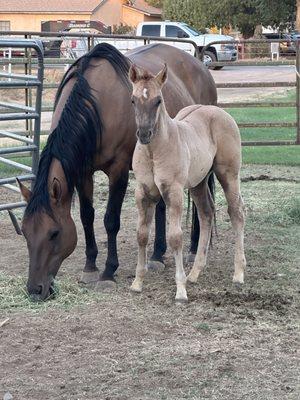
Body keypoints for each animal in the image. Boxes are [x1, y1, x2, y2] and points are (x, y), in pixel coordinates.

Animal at [18, 43, 216, 300]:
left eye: (54, 233)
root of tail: (201, 66)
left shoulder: (118, 170)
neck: (96, 106)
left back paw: (193, 248)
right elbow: (87, 216)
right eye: (25, 231)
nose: (35, 289)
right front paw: (90, 266)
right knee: (162, 206)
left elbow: (111, 220)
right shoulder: (84, 173)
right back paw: (157, 255)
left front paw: (108, 272)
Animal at [129, 63, 246, 300]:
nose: (144, 134)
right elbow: (141, 235)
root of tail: (218, 111)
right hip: (199, 182)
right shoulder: (143, 193)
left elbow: (175, 237)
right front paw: (137, 282)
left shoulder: (173, 192)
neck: (154, 152)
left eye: (158, 100)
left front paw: (180, 289)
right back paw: (195, 273)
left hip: (229, 174)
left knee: (236, 212)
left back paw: (238, 273)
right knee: (206, 213)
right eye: (134, 100)